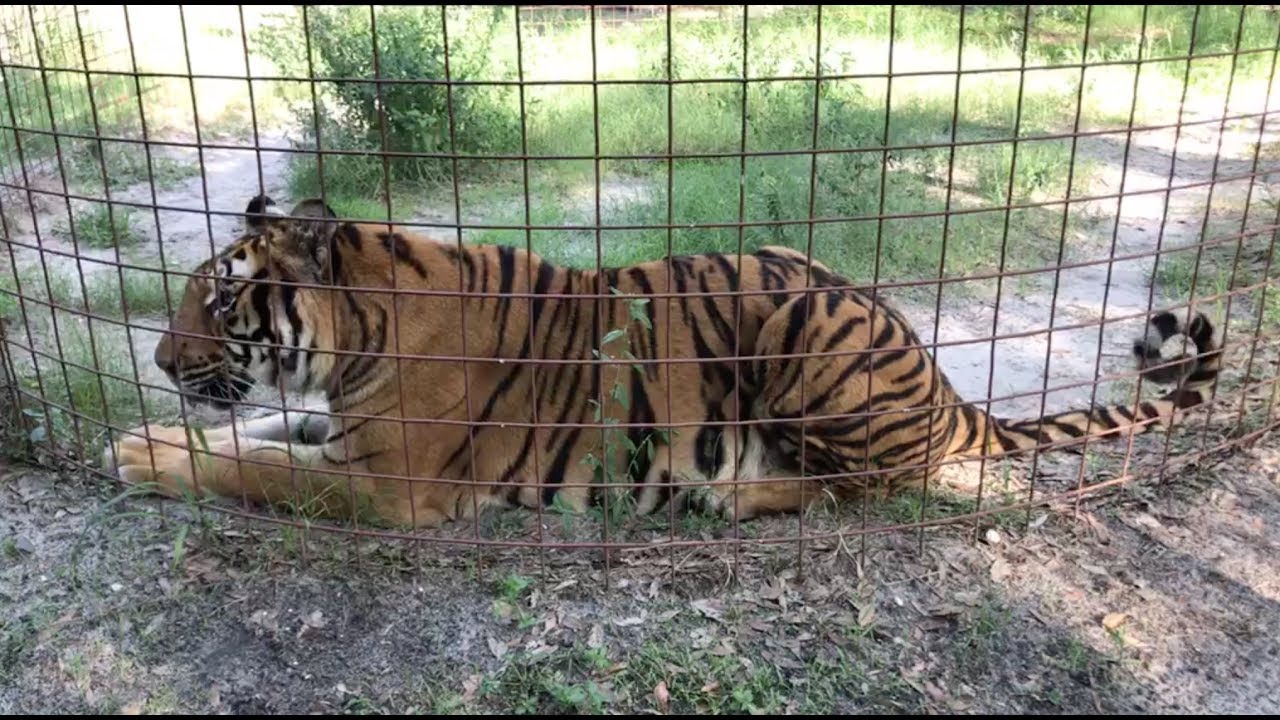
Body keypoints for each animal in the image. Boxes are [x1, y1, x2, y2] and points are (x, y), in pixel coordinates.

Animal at [103, 195, 1222, 527]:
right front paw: (146, 430)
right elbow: (259, 426)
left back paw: (729, 496)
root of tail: (949, 389)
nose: (156, 360)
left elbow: (254, 465)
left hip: (805, 333)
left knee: (868, 483)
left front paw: (144, 453)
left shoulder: (389, 486)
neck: (353, 336)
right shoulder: (337, 425)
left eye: (217, 298)